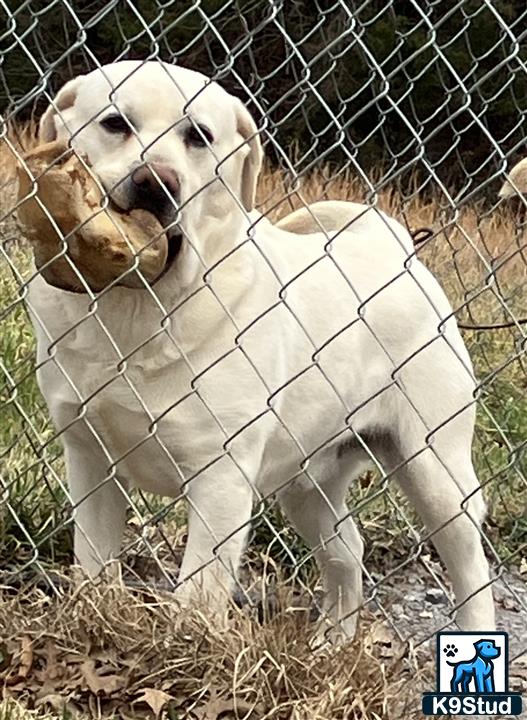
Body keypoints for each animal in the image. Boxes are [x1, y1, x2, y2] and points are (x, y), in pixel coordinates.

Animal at [26, 60, 498, 640]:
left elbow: (197, 594)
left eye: (199, 136)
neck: (139, 305)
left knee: (470, 568)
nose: (157, 182)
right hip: (308, 483)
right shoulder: (90, 460)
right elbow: (93, 564)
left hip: (436, 473)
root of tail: (397, 246)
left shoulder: (221, 481)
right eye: (115, 123)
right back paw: (331, 643)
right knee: (348, 549)